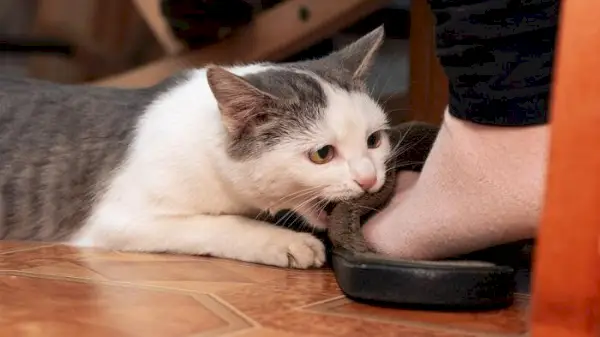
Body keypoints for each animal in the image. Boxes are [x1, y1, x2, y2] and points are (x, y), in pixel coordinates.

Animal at [0, 26, 394, 268]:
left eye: (374, 141)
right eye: (322, 154)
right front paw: (286, 242)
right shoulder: (118, 219)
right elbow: (222, 223)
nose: (369, 180)